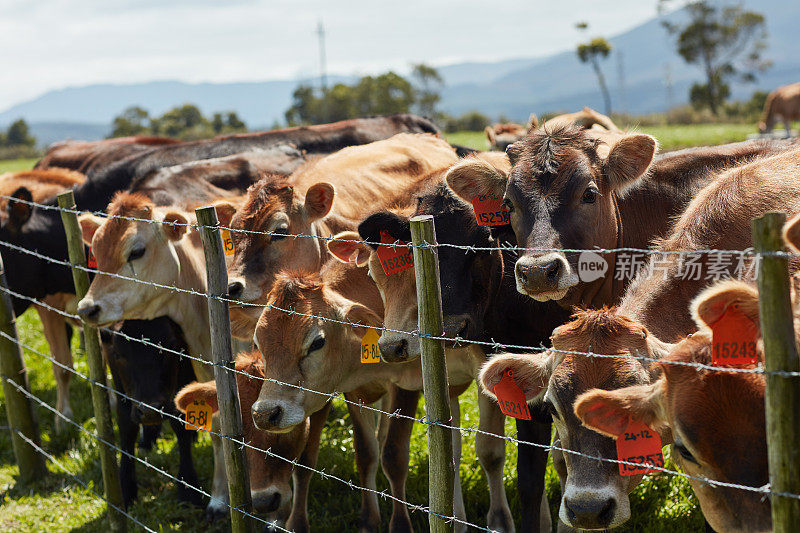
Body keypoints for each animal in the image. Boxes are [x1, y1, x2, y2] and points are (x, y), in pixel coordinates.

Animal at [99, 316, 203, 508]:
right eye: (118, 354)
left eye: (171, 347)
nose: (150, 411)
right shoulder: (120, 387)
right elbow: (127, 427)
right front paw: (125, 489)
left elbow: (179, 423)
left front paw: (188, 487)